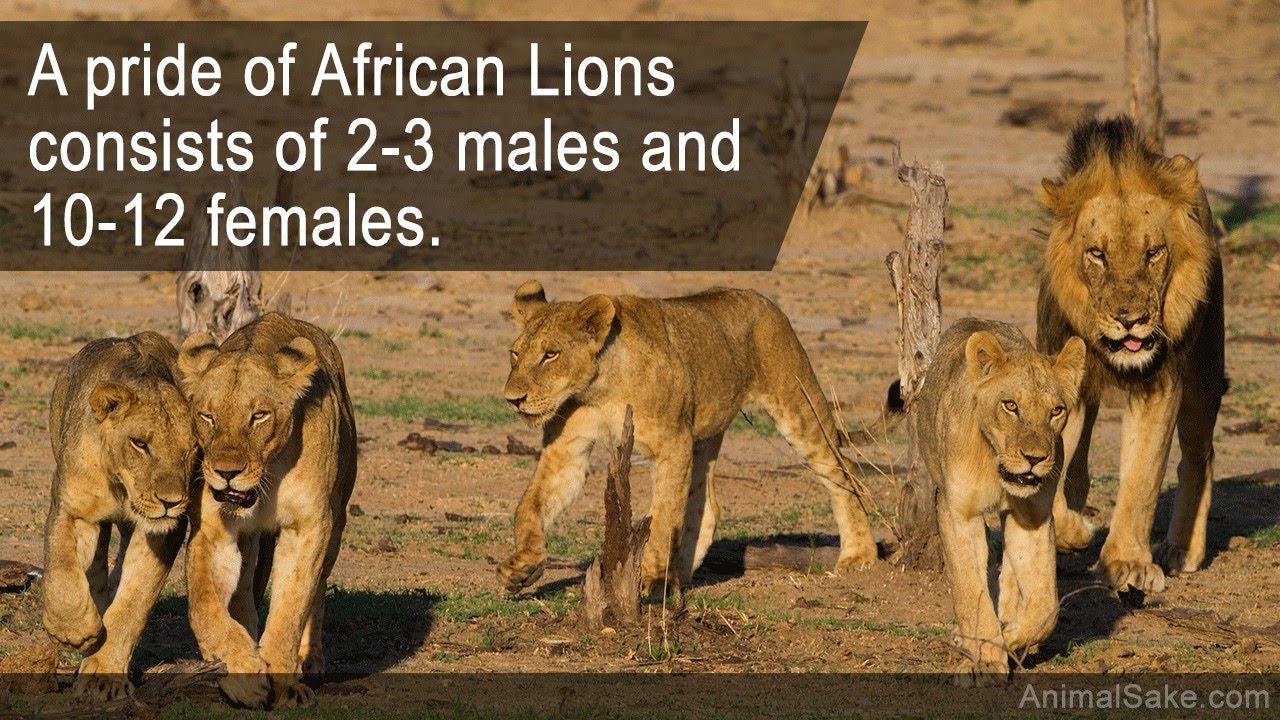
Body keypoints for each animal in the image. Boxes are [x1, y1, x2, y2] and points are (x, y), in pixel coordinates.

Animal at [43, 332, 196, 700]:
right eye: (140, 443)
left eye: (191, 449)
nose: (171, 501)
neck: (122, 488)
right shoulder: (71, 509)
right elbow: (62, 568)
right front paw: (73, 630)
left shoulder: (164, 531)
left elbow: (134, 599)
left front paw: (103, 676)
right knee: (95, 567)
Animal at [177, 313, 357, 709]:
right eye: (207, 417)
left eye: (258, 416)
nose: (227, 472)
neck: (268, 477)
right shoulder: (211, 532)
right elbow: (205, 607)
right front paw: (242, 674)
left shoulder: (309, 527)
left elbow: (291, 609)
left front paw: (286, 684)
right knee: (243, 594)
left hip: (337, 522)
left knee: (318, 592)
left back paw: (310, 660)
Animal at [497, 281, 879, 597]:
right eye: (515, 353)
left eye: (550, 354)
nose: (512, 399)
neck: (599, 389)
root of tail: (761, 298)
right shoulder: (566, 451)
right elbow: (529, 506)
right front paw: (522, 565)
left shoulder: (672, 444)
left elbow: (663, 516)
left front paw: (652, 580)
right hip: (704, 435)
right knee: (706, 505)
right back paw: (680, 575)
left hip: (797, 404)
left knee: (843, 473)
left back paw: (859, 555)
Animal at [919, 319, 1085, 685]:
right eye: (1010, 405)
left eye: (1056, 411)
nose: (1035, 458)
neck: (995, 464)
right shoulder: (958, 514)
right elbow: (972, 592)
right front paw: (985, 658)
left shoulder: (1034, 517)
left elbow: (1045, 606)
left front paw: (1008, 638)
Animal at [1037, 116, 1226, 594]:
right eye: (1097, 254)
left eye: (1153, 252)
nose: (1130, 320)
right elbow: (1057, 469)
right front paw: (1072, 530)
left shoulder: (1159, 383)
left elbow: (1142, 477)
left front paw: (1127, 562)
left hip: (1205, 371)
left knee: (1200, 455)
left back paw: (1182, 548)